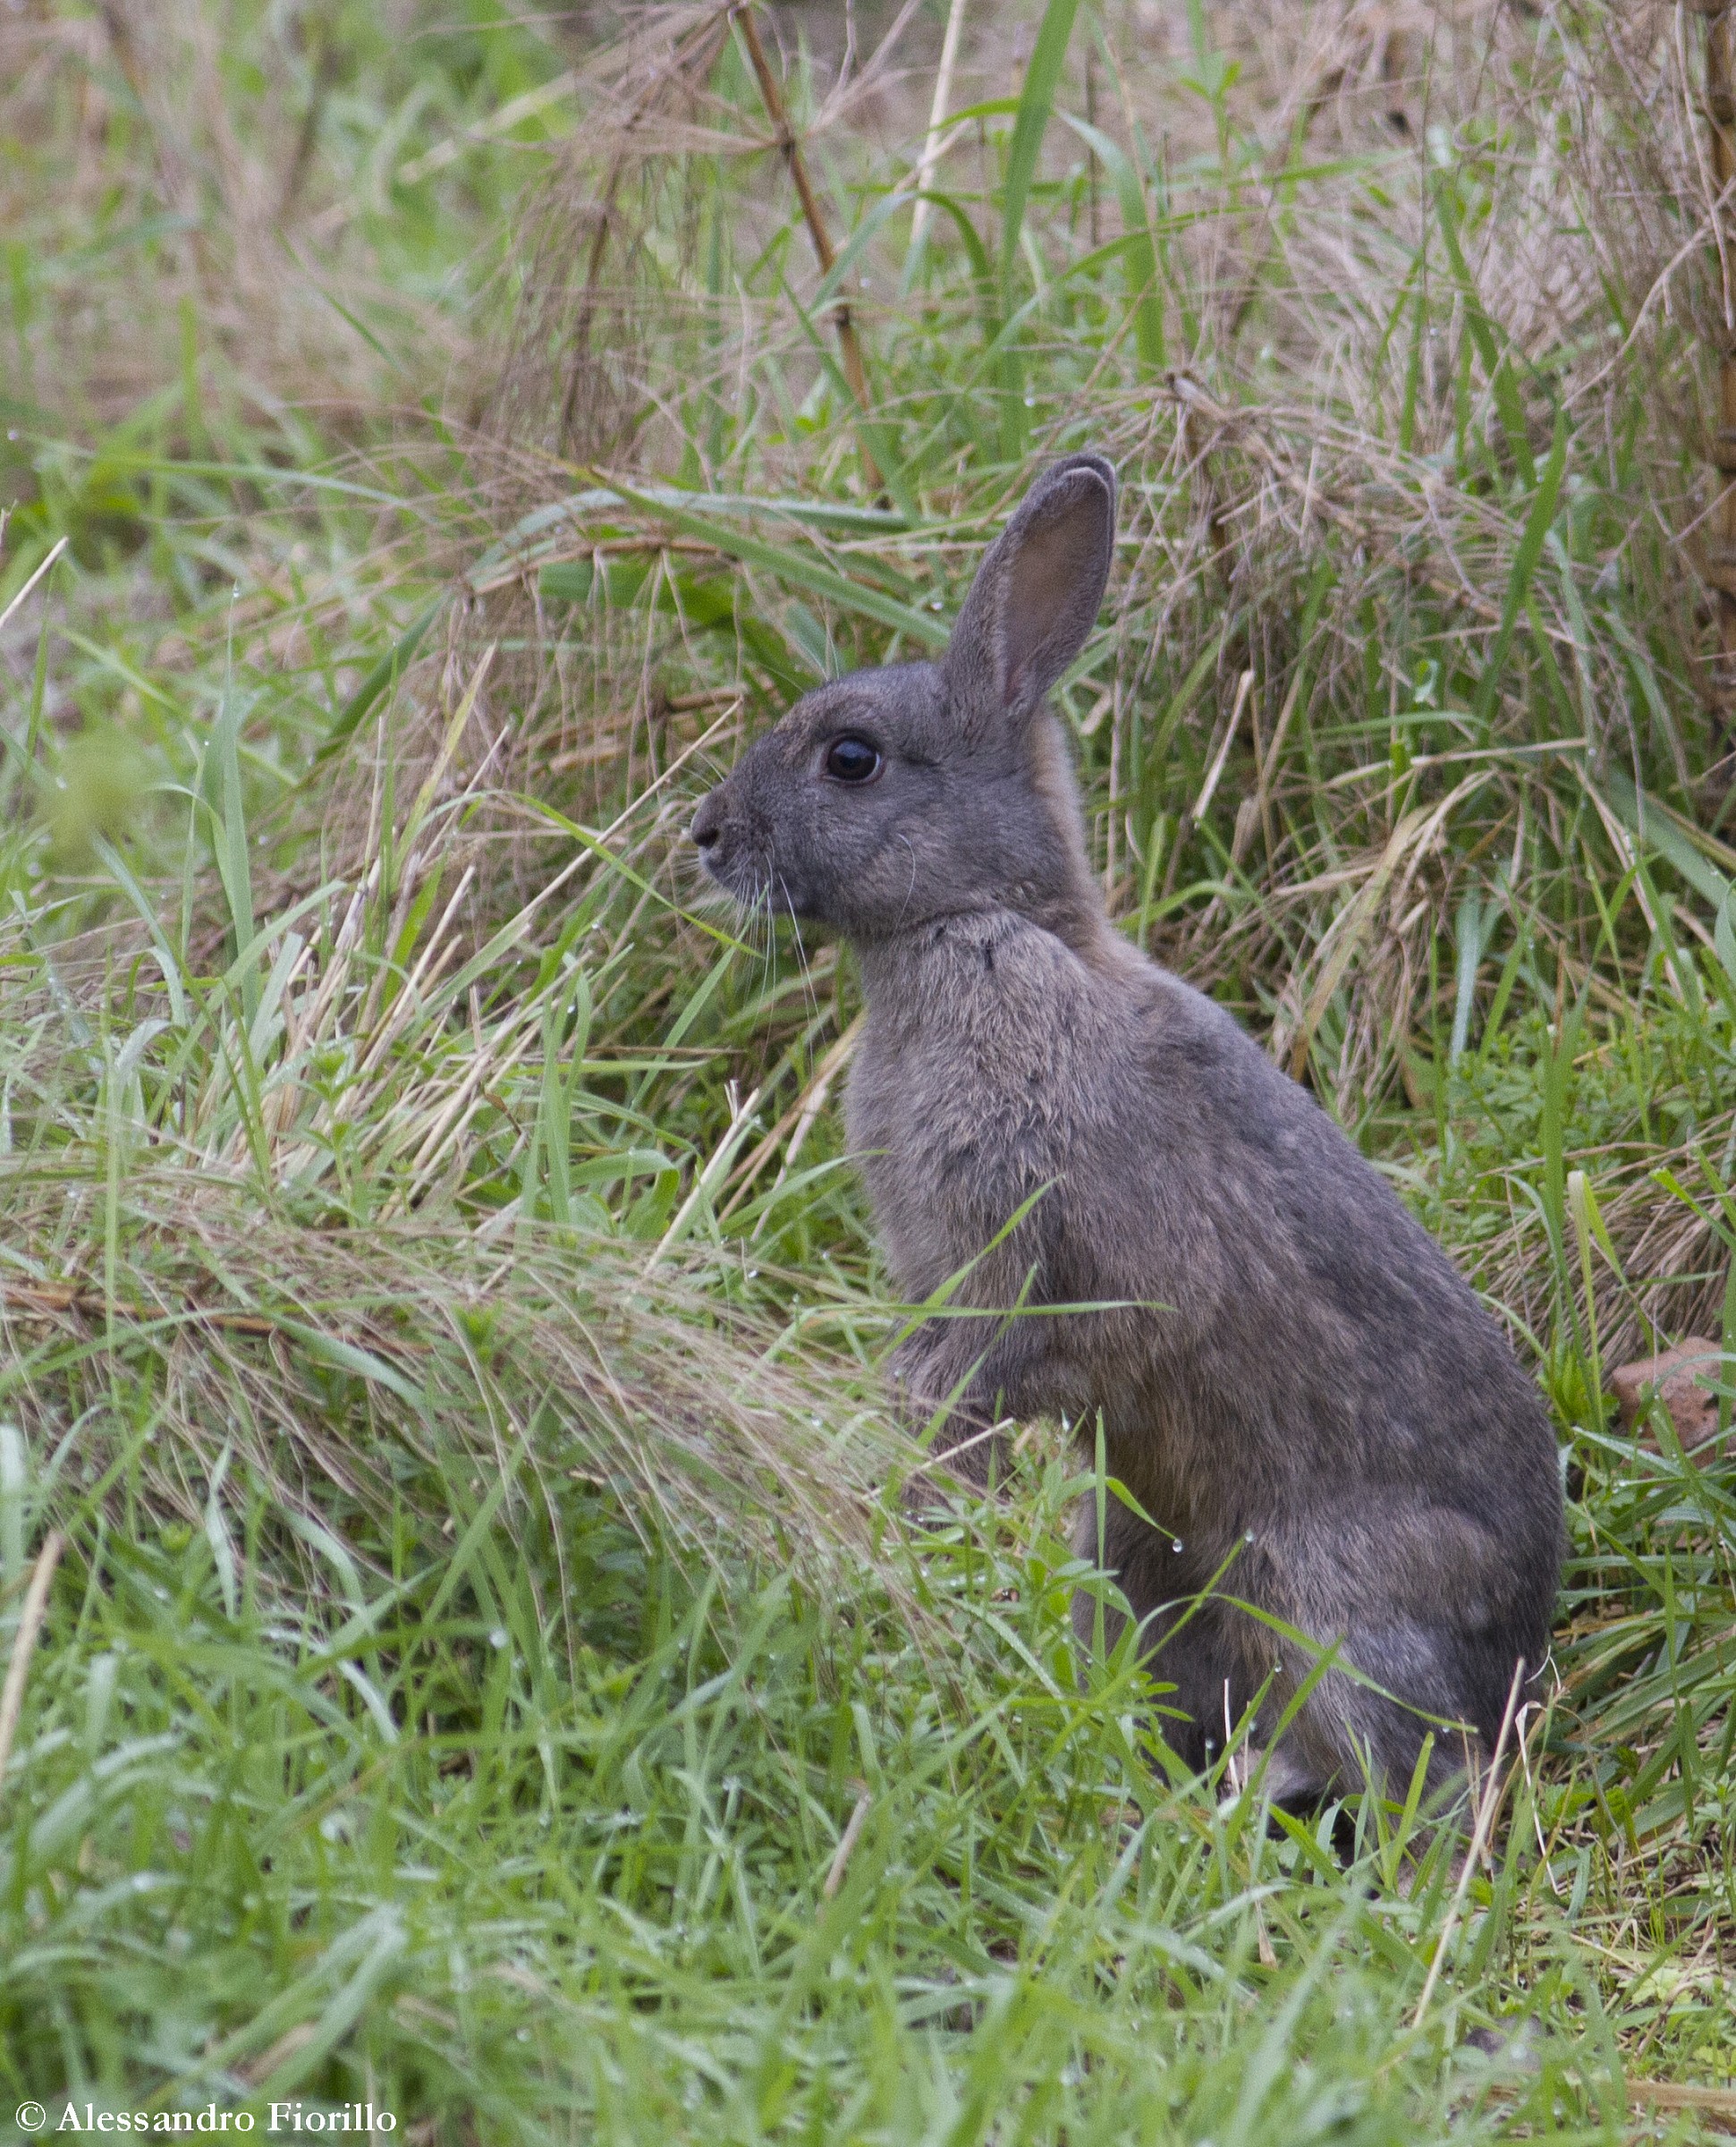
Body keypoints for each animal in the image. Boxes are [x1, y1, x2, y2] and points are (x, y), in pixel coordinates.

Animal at [689, 452, 1563, 1803]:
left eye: (852, 759)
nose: (706, 835)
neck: (984, 924)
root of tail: (1519, 1655)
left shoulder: (1032, 1252)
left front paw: (923, 1493)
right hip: (1137, 1549)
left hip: (1325, 1593)